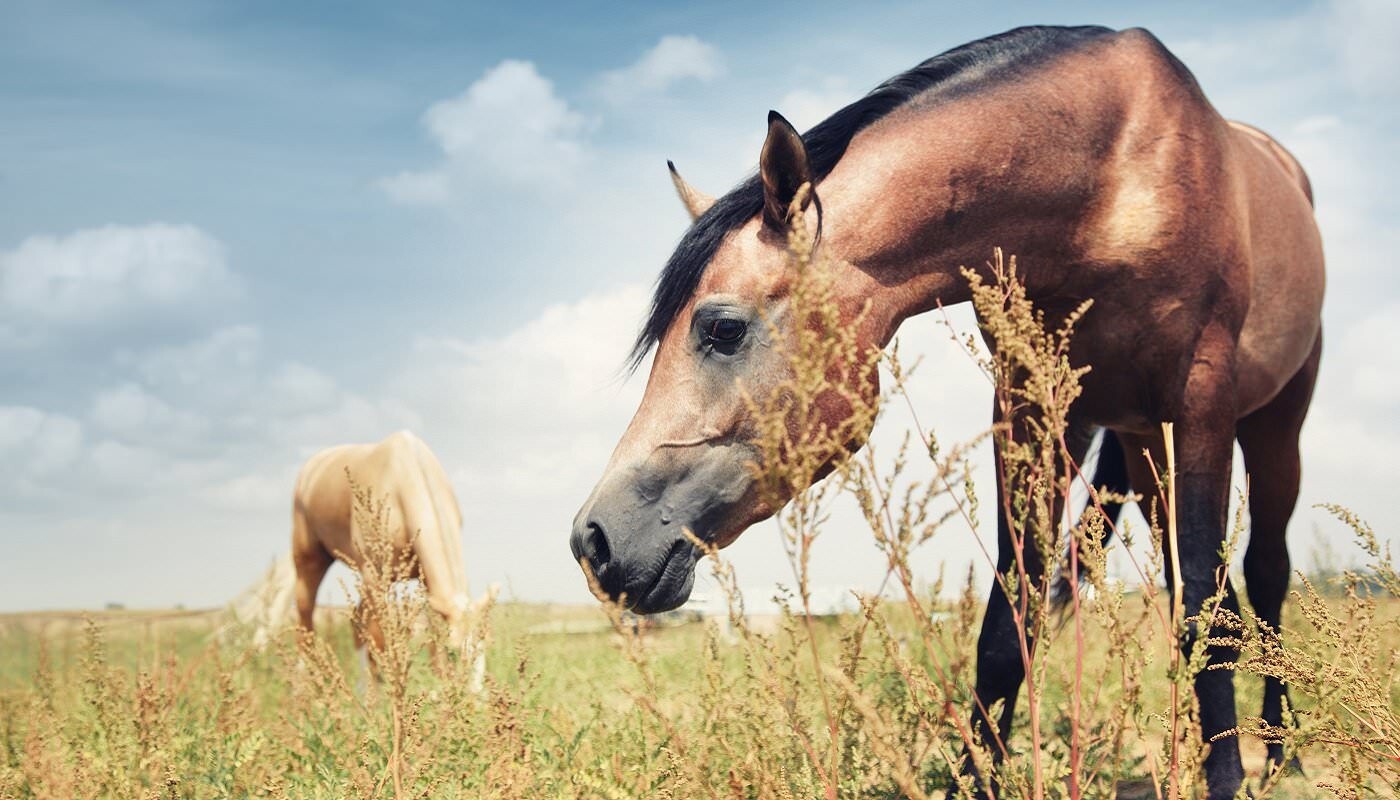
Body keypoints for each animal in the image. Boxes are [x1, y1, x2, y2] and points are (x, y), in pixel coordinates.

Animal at [568, 26, 1321, 800]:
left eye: (721, 328)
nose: (594, 541)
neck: (1110, 182)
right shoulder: (1029, 407)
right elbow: (1011, 622)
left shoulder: (1203, 403)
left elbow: (1204, 610)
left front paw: (1226, 777)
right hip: (1142, 448)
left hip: (1271, 424)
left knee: (1263, 575)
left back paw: (1281, 754)